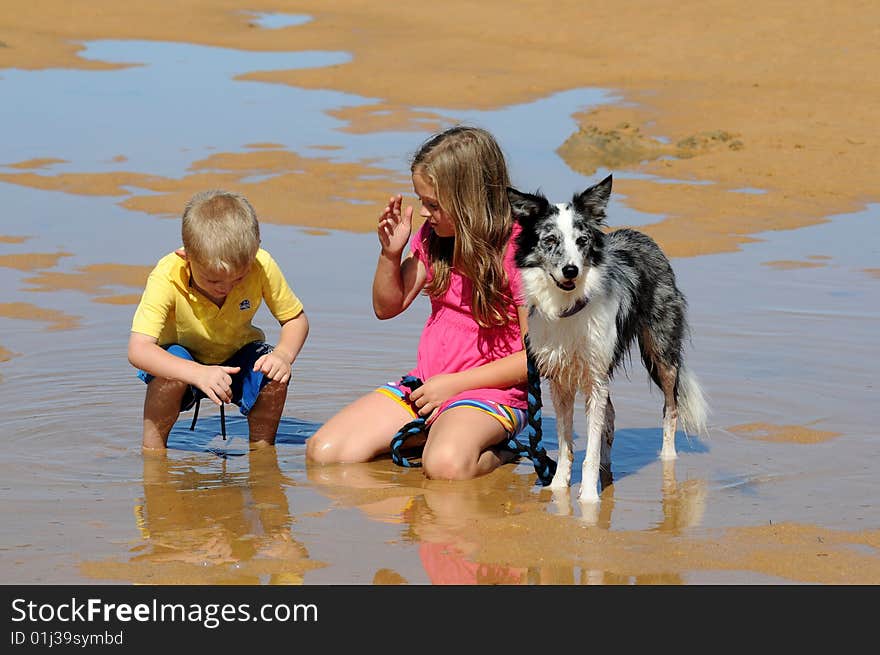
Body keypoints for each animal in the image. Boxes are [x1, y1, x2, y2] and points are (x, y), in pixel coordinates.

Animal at [508, 173, 708, 502]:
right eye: (550, 241)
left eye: (582, 241)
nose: (571, 270)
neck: (568, 306)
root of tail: (642, 236)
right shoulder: (560, 379)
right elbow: (566, 444)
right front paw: (558, 489)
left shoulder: (595, 378)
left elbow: (588, 447)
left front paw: (589, 498)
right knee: (610, 416)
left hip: (661, 349)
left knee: (671, 405)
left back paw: (667, 459)